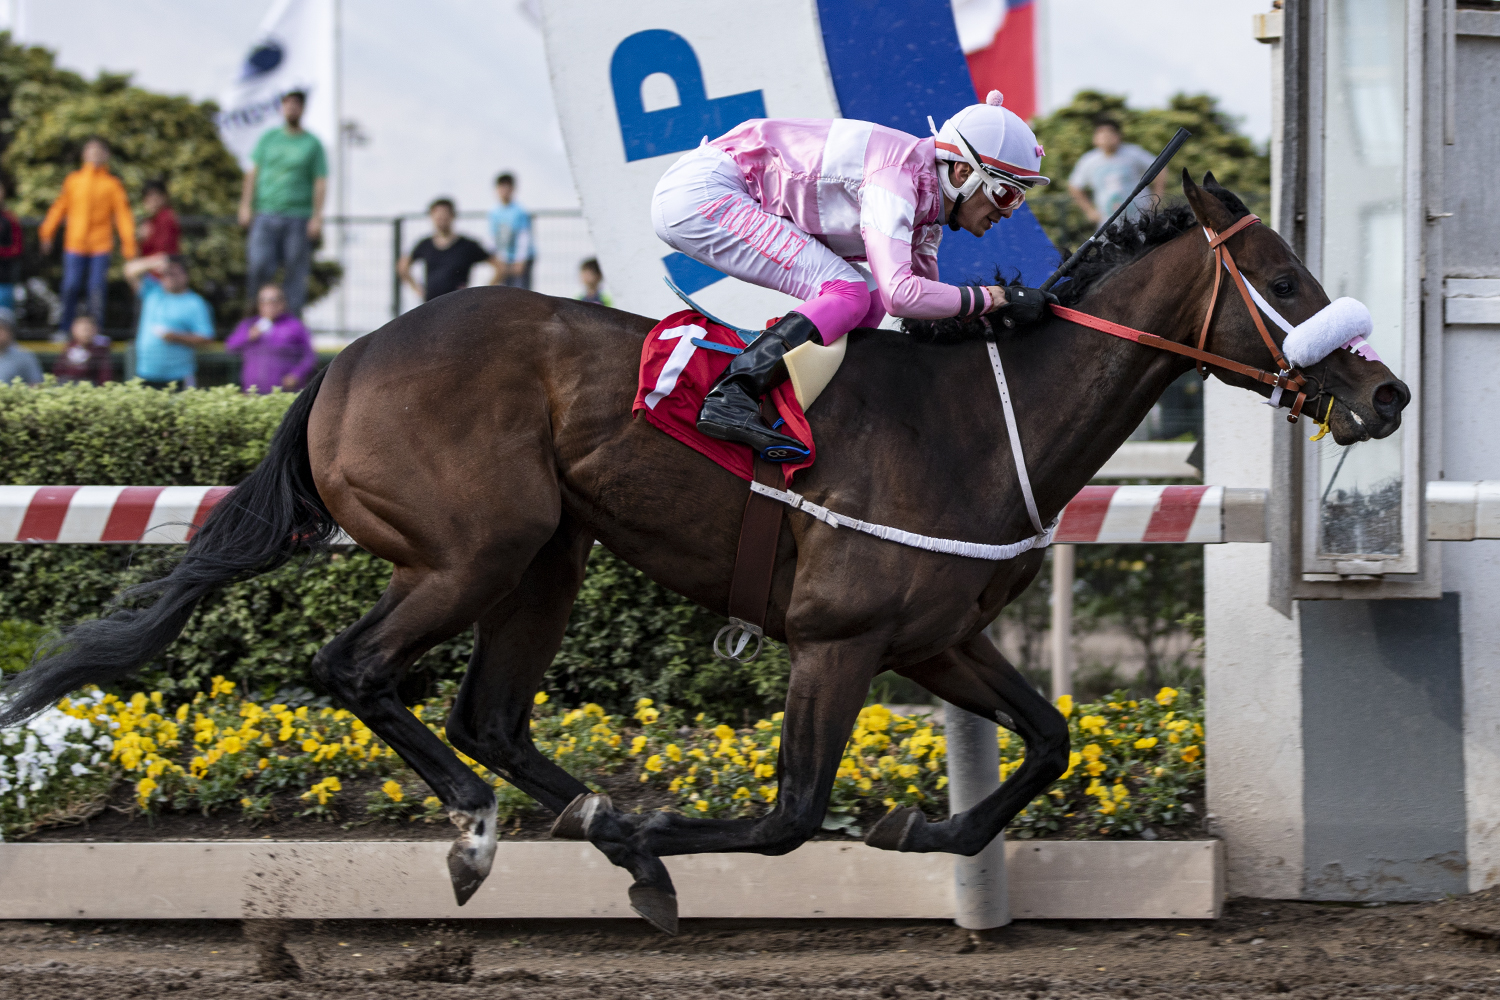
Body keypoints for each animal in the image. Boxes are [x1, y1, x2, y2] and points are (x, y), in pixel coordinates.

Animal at [0, 174, 1407, 933]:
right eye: (1287, 275)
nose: (1386, 394)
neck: (980, 415)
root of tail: (343, 361)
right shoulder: (838, 641)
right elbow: (788, 818)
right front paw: (664, 838)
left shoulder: (938, 636)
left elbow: (1056, 739)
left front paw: (919, 828)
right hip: (472, 548)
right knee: (355, 671)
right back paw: (485, 830)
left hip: (548, 554)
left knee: (488, 711)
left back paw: (573, 812)